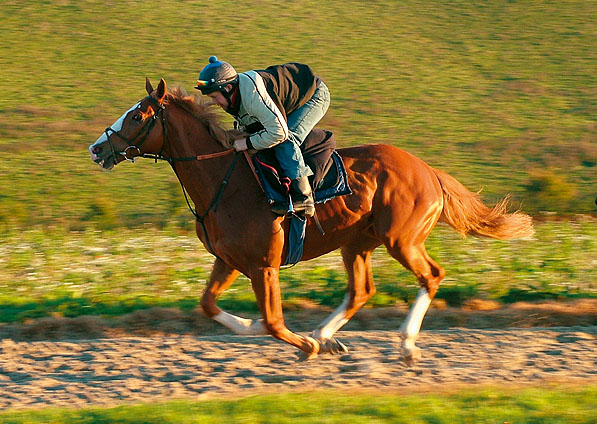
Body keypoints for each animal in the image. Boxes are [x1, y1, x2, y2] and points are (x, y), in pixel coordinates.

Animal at [87, 78, 532, 362]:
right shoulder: (228, 260)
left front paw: (303, 345)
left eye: (138, 116)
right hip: (357, 243)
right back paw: (326, 336)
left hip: (401, 239)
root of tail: (428, 170)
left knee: (431, 276)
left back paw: (403, 344)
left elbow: (273, 321)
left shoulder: (263, 265)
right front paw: (262, 329)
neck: (223, 180)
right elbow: (209, 305)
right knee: (362, 291)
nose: (97, 148)